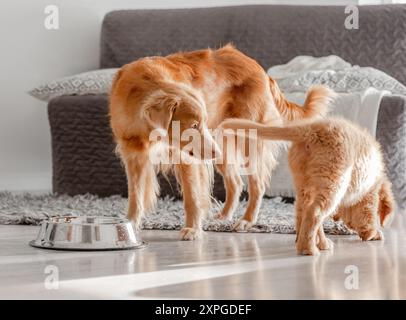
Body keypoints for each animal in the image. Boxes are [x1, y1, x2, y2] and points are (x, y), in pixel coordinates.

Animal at [109, 45, 334, 240]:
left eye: (201, 122)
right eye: (193, 125)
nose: (214, 152)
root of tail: (259, 68)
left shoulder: (186, 158)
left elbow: (192, 198)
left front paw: (192, 229)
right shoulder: (134, 157)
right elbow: (135, 196)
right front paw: (129, 225)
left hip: (246, 143)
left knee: (257, 185)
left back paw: (247, 221)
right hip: (221, 145)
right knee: (235, 182)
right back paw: (224, 217)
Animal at [220, 117, 394, 255]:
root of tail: (310, 129)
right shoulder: (368, 196)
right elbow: (366, 218)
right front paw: (374, 234)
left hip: (304, 183)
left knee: (304, 213)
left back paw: (312, 242)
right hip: (334, 183)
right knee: (314, 213)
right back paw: (308, 249)